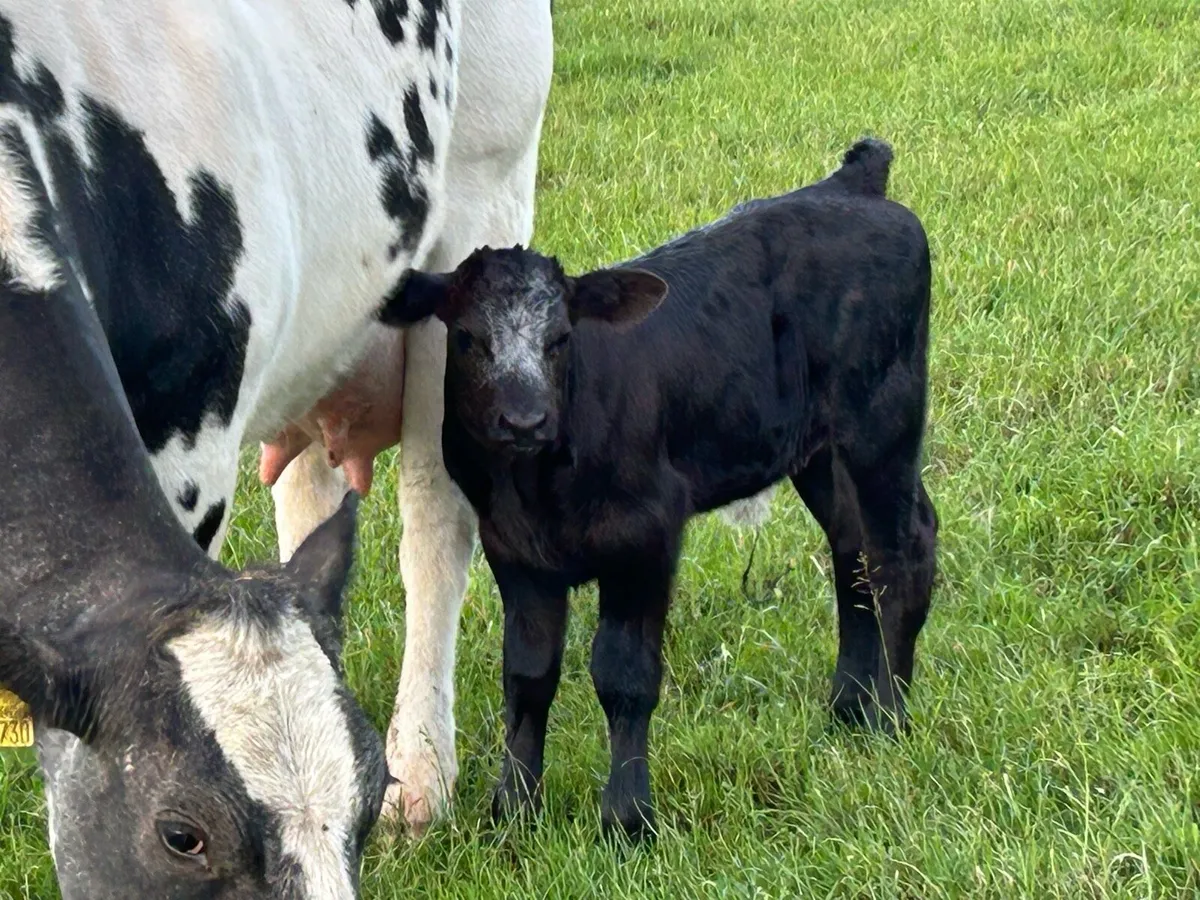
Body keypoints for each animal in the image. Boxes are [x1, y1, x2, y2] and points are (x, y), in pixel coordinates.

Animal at [0, 0, 551, 893]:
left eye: (365, 794)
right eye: (181, 834)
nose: (388, 788)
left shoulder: (190, 435)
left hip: (483, 219)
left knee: (435, 530)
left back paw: (426, 776)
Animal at [377, 139, 940, 840]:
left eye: (561, 339)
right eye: (467, 337)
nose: (525, 420)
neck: (536, 485)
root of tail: (850, 185)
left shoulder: (644, 536)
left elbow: (624, 675)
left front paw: (626, 819)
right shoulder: (515, 551)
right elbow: (527, 676)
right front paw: (514, 812)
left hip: (883, 419)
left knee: (899, 554)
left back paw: (889, 716)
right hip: (817, 446)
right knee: (852, 548)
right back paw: (847, 707)